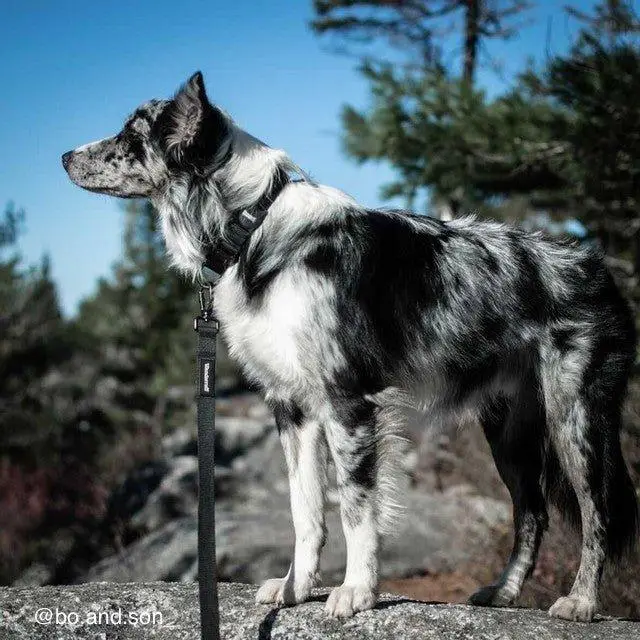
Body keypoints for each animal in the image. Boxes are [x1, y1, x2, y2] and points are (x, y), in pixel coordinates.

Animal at [62, 72, 636, 624]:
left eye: (130, 135)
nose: (64, 157)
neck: (253, 225)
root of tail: (595, 266)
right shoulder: (290, 409)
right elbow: (305, 509)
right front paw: (295, 588)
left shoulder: (349, 402)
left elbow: (357, 509)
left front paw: (357, 591)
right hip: (509, 432)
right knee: (532, 512)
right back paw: (505, 591)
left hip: (576, 420)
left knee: (599, 513)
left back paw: (582, 601)